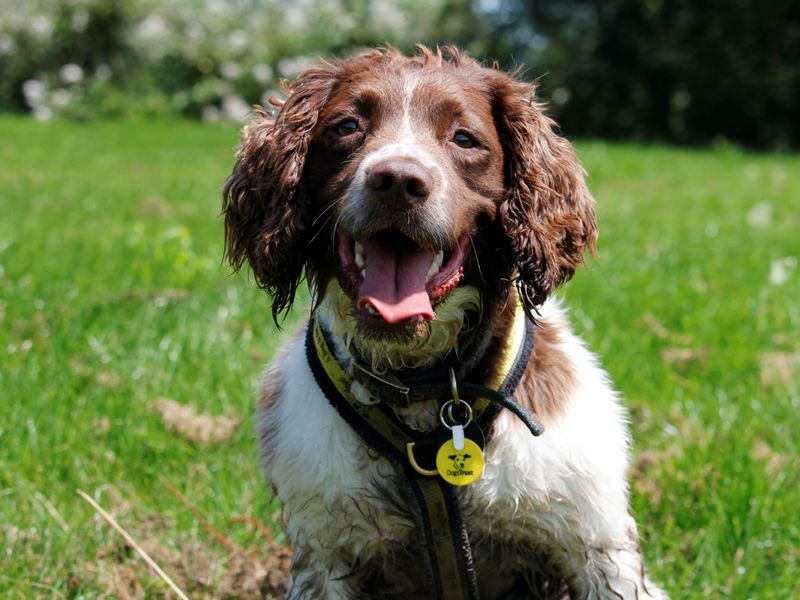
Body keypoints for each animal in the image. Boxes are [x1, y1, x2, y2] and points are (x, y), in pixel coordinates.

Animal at [222, 47, 664, 600]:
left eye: (464, 138)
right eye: (346, 126)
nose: (398, 180)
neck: (426, 387)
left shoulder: (594, 543)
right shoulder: (323, 550)